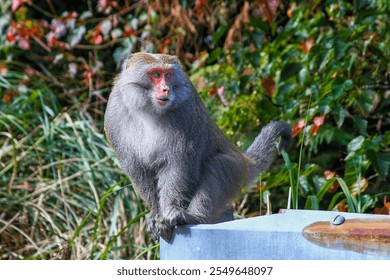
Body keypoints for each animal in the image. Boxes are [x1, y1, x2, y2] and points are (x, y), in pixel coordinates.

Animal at [104, 53, 292, 243]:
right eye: (156, 74)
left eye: (168, 75)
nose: (166, 89)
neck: (149, 110)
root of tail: (245, 163)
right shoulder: (114, 113)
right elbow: (138, 169)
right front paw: (156, 213)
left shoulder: (187, 110)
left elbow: (179, 164)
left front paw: (169, 211)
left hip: (236, 172)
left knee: (218, 165)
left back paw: (194, 216)